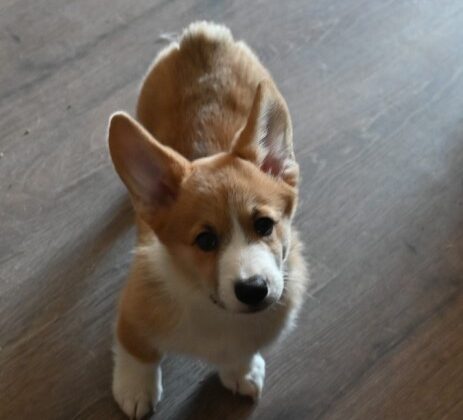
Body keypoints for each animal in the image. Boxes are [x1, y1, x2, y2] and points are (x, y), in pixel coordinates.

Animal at [108, 20, 310, 420]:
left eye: (264, 225)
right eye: (205, 241)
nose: (254, 289)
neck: (214, 307)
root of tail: (203, 36)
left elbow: (242, 353)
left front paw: (242, 371)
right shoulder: (134, 314)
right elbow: (138, 353)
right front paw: (135, 390)